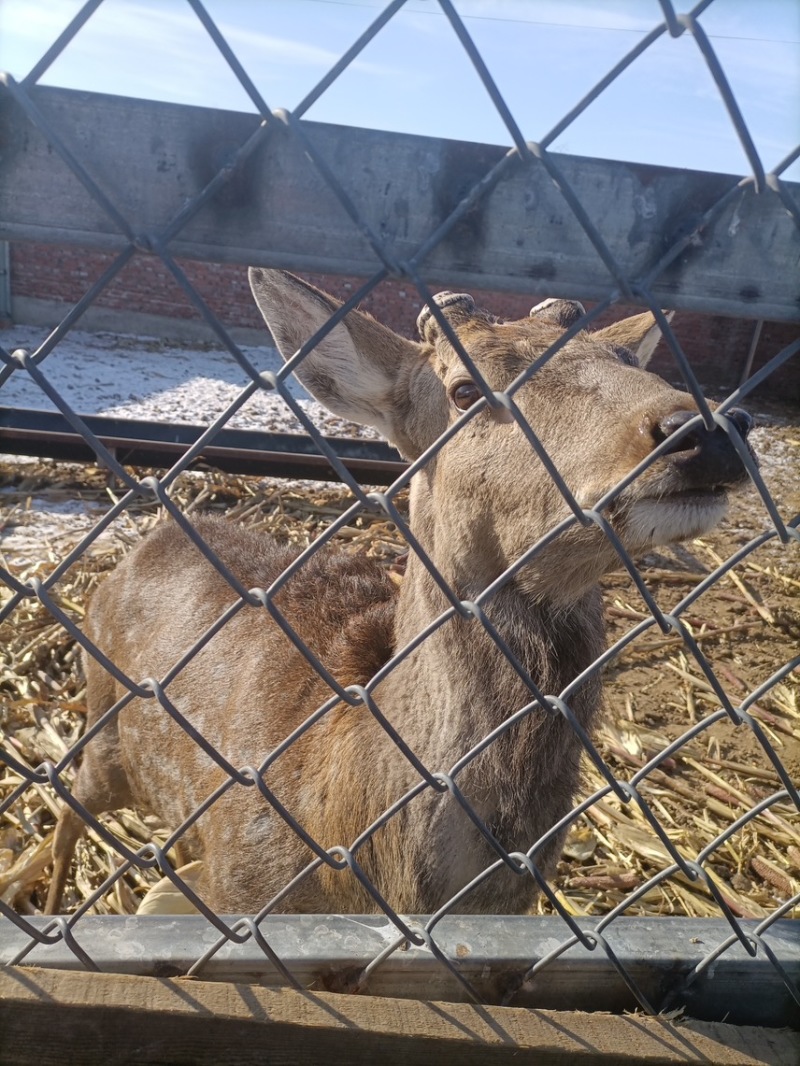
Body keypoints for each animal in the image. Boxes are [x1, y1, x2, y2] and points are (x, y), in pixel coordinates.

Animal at [45, 270, 753, 916]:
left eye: (629, 361)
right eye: (464, 389)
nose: (705, 428)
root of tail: (139, 548)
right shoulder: (235, 888)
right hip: (104, 724)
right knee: (68, 809)